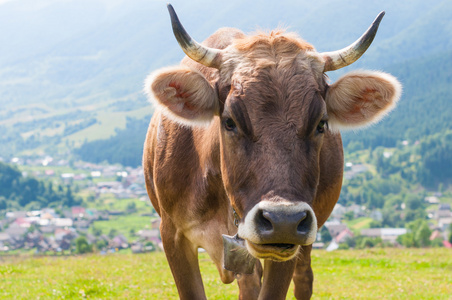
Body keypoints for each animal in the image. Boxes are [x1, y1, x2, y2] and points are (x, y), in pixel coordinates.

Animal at [143, 4, 400, 300]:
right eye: (230, 121)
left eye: (321, 124)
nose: (283, 220)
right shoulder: (172, 233)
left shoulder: (289, 243)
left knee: (303, 278)